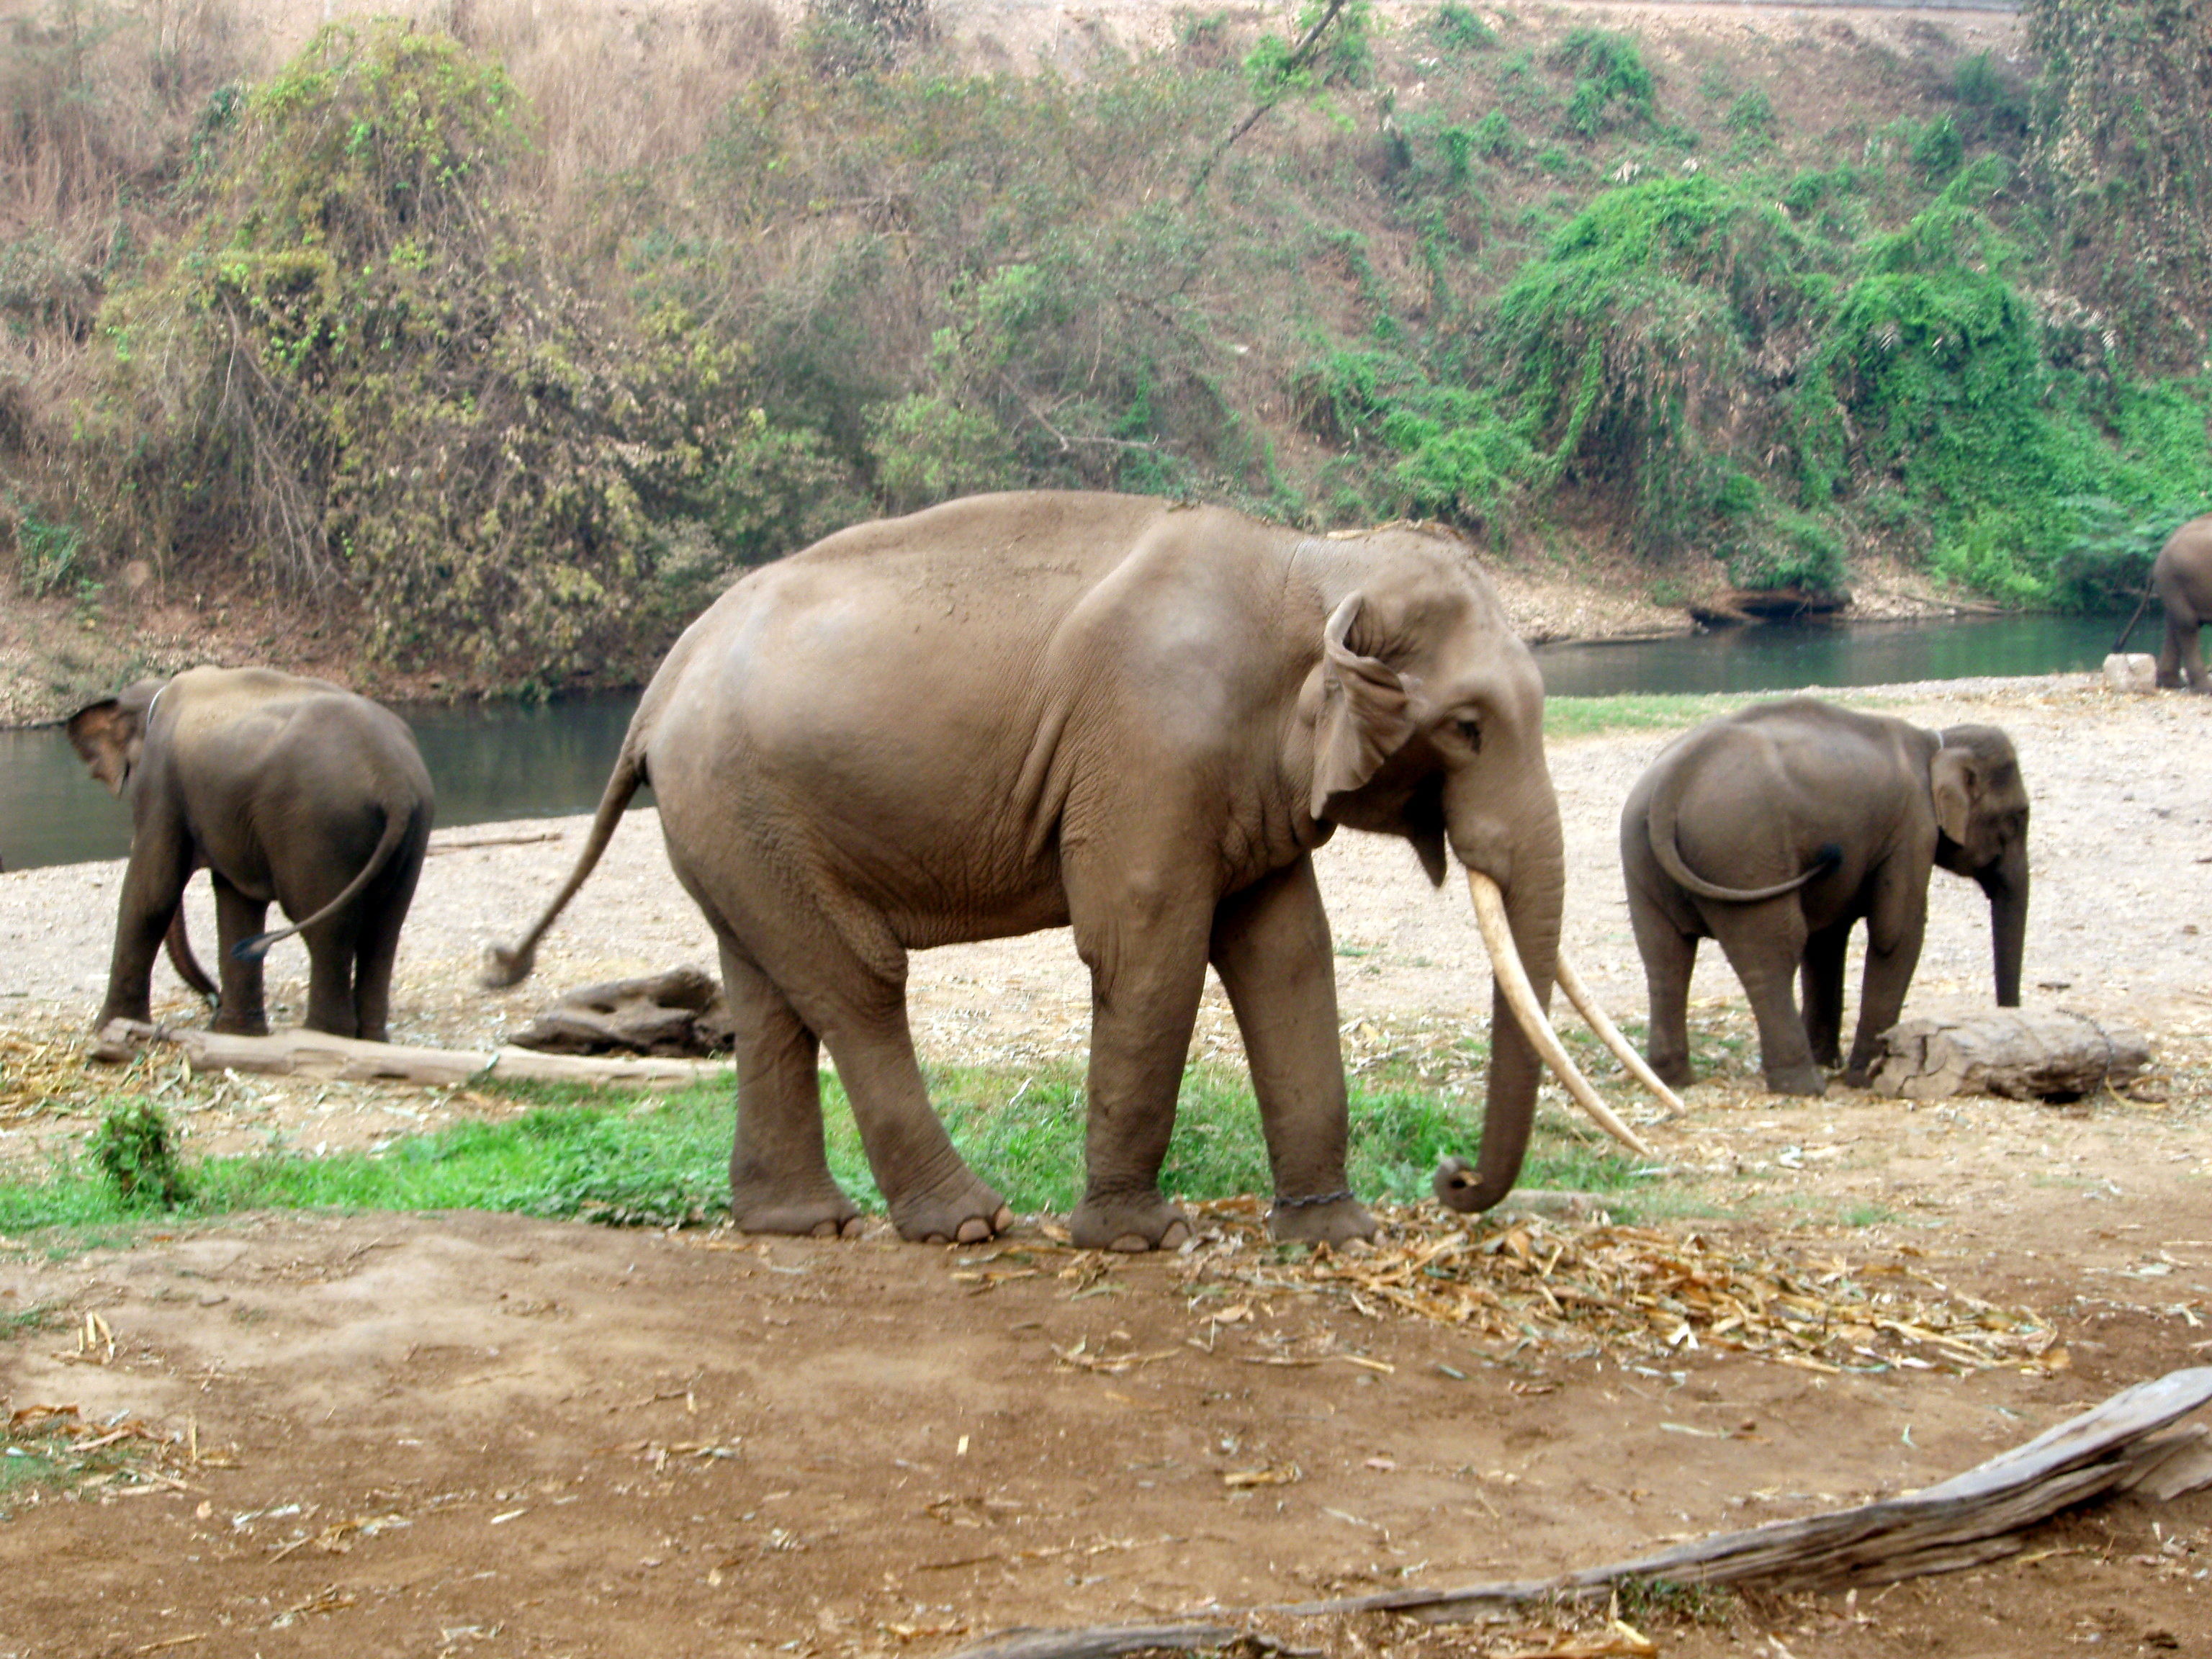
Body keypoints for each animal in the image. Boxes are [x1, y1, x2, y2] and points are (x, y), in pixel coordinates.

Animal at [484, 486, 1663, 1256]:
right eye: (1468, 728)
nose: (1455, 1178)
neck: (1311, 560)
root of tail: (653, 687)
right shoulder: (1149, 747)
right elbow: (1148, 943)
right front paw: (1139, 1239)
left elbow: (1286, 954)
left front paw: (1337, 1237)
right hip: (741, 800)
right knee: (856, 983)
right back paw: (969, 1221)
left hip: (734, 822)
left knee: (770, 992)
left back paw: (799, 1223)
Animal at [1619, 703, 2026, 1106]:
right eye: (2018, 817)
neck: (1935, 742)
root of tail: (1672, 784)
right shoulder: (1912, 830)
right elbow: (1896, 931)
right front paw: (1867, 1076)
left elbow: (1827, 941)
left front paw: (1833, 1061)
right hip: (1742, 851)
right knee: (1773, 951)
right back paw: (1804, 1085)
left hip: (1643, 855)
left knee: (1666, 957)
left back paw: (1674, 1079)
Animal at [2159, 521, 2212, 698]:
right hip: (2176, 581)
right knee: (2188, 624)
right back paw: (2205, 689)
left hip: (2173, 585)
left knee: (2173, 623)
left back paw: (2171, 683)